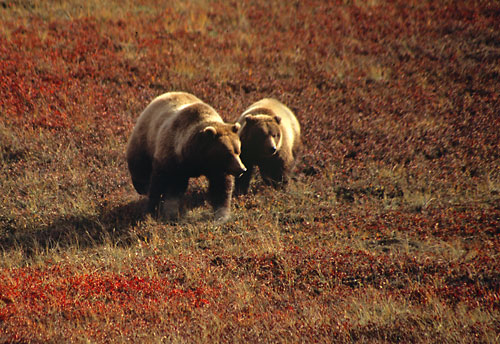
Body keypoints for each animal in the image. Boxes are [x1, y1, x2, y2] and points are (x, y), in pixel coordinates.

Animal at [127, 91, 246, 222]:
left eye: (238, 151)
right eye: (228, 153)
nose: (242, 169)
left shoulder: (216, 169)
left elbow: (221, 186)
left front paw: (222, 215)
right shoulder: (171, 156)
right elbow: (159, 182)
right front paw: (152, 210)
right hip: (145, 138)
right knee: (139, 167)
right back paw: (142, 186)